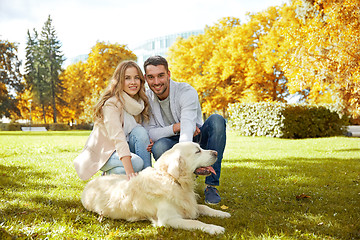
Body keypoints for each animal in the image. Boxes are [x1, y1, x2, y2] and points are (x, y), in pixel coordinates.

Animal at [81, 142, 231, 234]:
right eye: (197, 151)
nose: (216, 152)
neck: (172, 179)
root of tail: (88, 184)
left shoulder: (188, 204)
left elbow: (204, 207)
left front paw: (222, 213)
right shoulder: (168, 219)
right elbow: (195, 222)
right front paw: (214, 228)